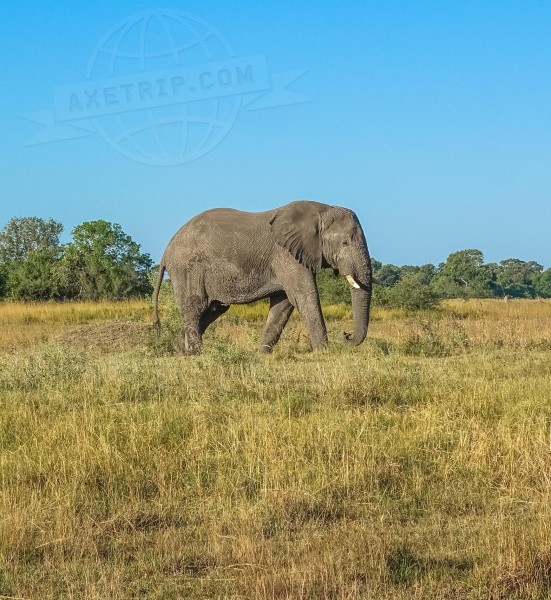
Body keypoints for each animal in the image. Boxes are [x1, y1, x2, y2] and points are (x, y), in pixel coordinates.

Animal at [153, 199, 374, 354]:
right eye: (345, 243)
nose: (346, 334)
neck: (321, 210)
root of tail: (166, 250)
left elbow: (283, 305)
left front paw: (262, 355)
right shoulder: (286, 255)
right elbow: (305, 297)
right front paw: (323, 353)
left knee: (212, 310)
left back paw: (180, 350)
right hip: (188, 269)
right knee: (194, 308)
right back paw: (196, 353)